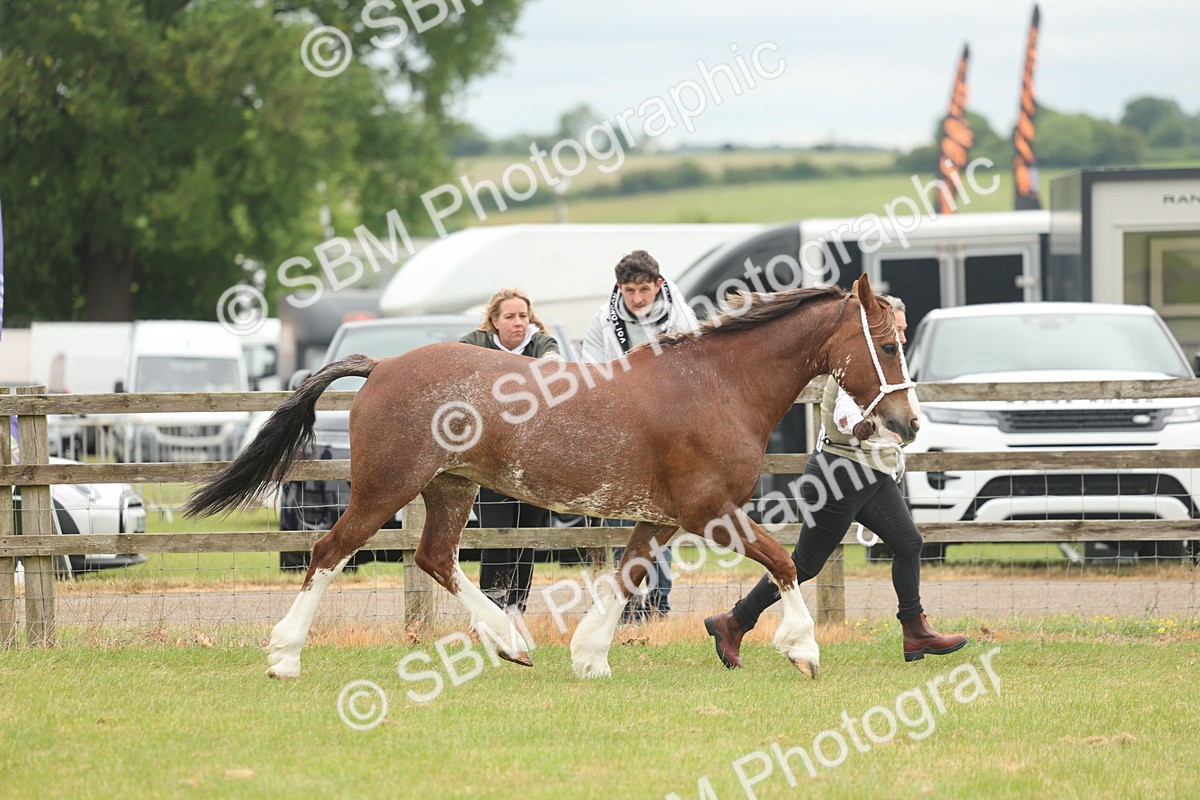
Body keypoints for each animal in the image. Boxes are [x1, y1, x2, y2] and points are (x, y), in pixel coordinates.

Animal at [185, 274, 919, 680]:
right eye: (887, 345)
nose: (908, 424)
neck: (718, 384)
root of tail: (383, 366)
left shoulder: (660, 518)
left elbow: (626, 579)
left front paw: (590, 656)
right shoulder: (709, 511)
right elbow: (786, 564)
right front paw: (804, 651)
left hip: (451, 487)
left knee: (434, 557)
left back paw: (512, 642)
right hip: (384, 490)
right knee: (328, 553)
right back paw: (284, 657)